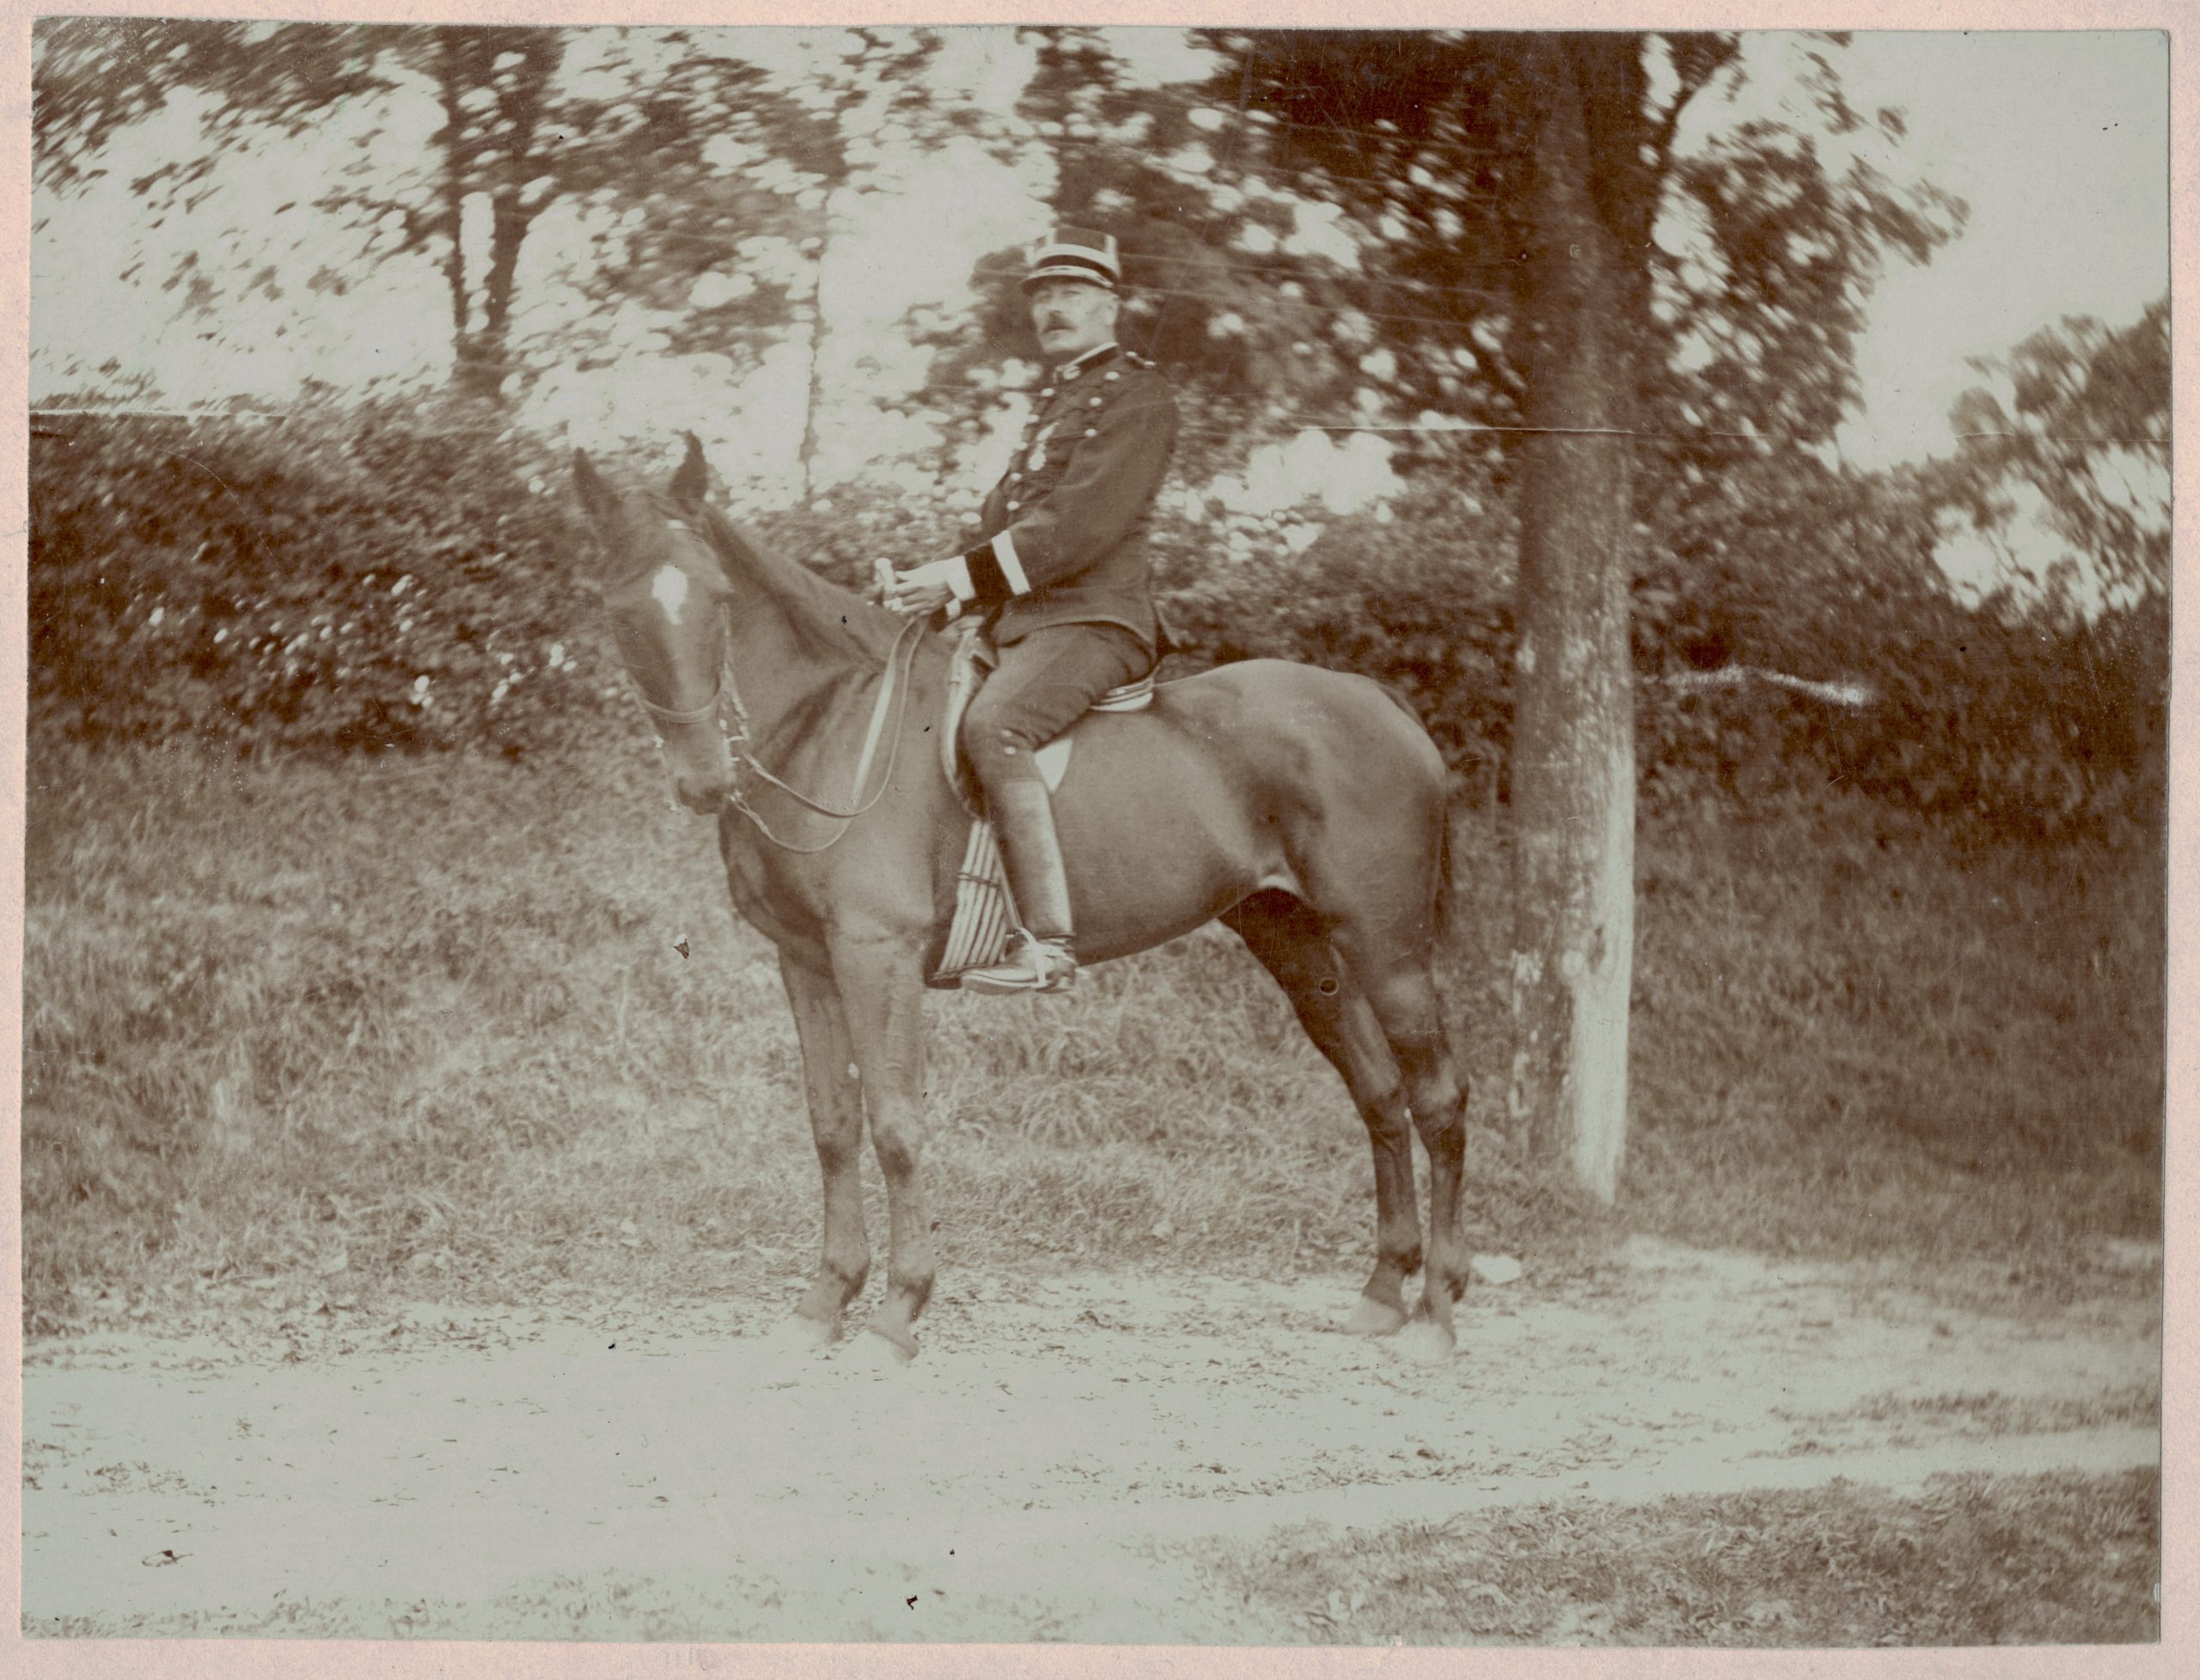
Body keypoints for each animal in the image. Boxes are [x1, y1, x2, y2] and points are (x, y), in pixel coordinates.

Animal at [571, 442, 1460, 1363]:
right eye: (622, 609)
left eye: (716, 599)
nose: (704, 779)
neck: (830, 723)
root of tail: (1379, 701)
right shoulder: (806, 961)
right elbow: (832, 1124)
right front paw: (824, 1300)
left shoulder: (877, 958)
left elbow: (896, 1125)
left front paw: (899, 1309)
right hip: (1300, 947)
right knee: (1378, 1092)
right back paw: (1383, 1291)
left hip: (1388, 949)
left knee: (1437, 1097)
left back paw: (1436, 1310)